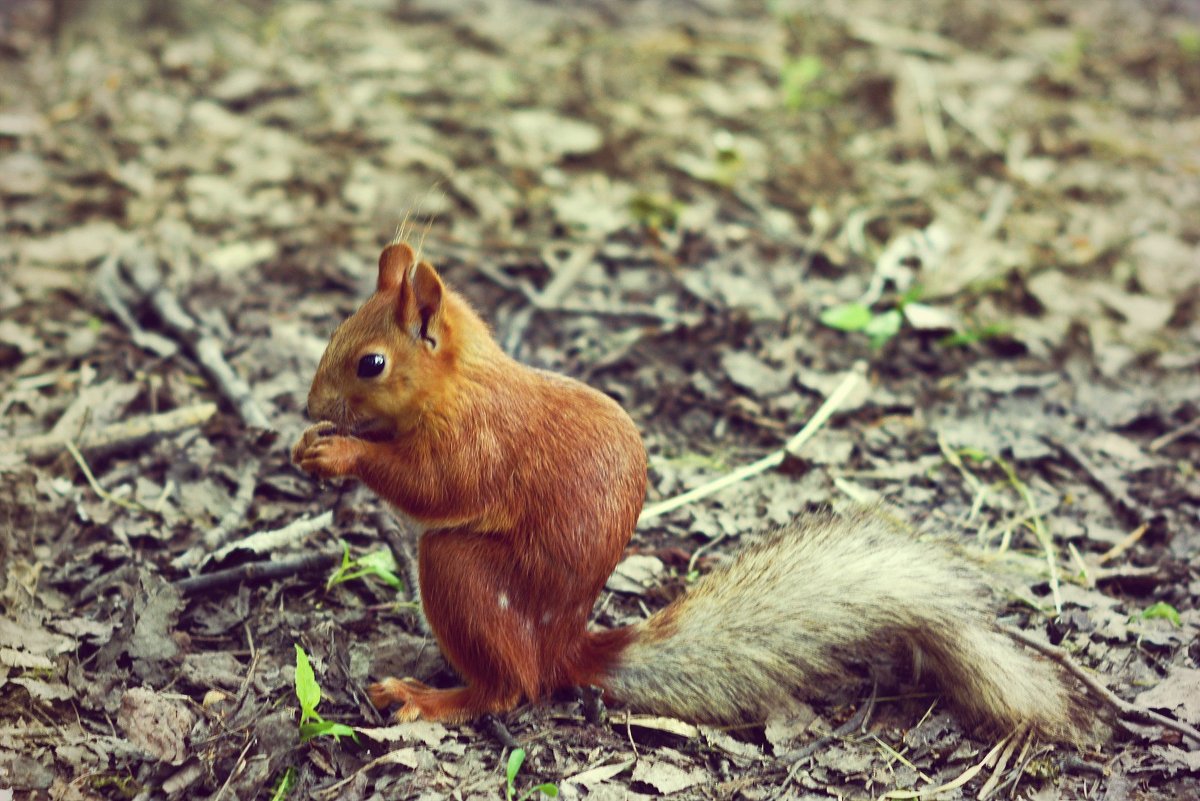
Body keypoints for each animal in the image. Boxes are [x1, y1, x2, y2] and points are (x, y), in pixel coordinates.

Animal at [290, 241, 1099, 743]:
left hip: (463, 576)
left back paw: (433, 697)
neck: (462, 382)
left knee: (510, 688)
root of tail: (563, 650)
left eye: (370, 362)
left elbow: (432, 485)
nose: (308, 405)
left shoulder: (478, 442)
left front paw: (339, 451)